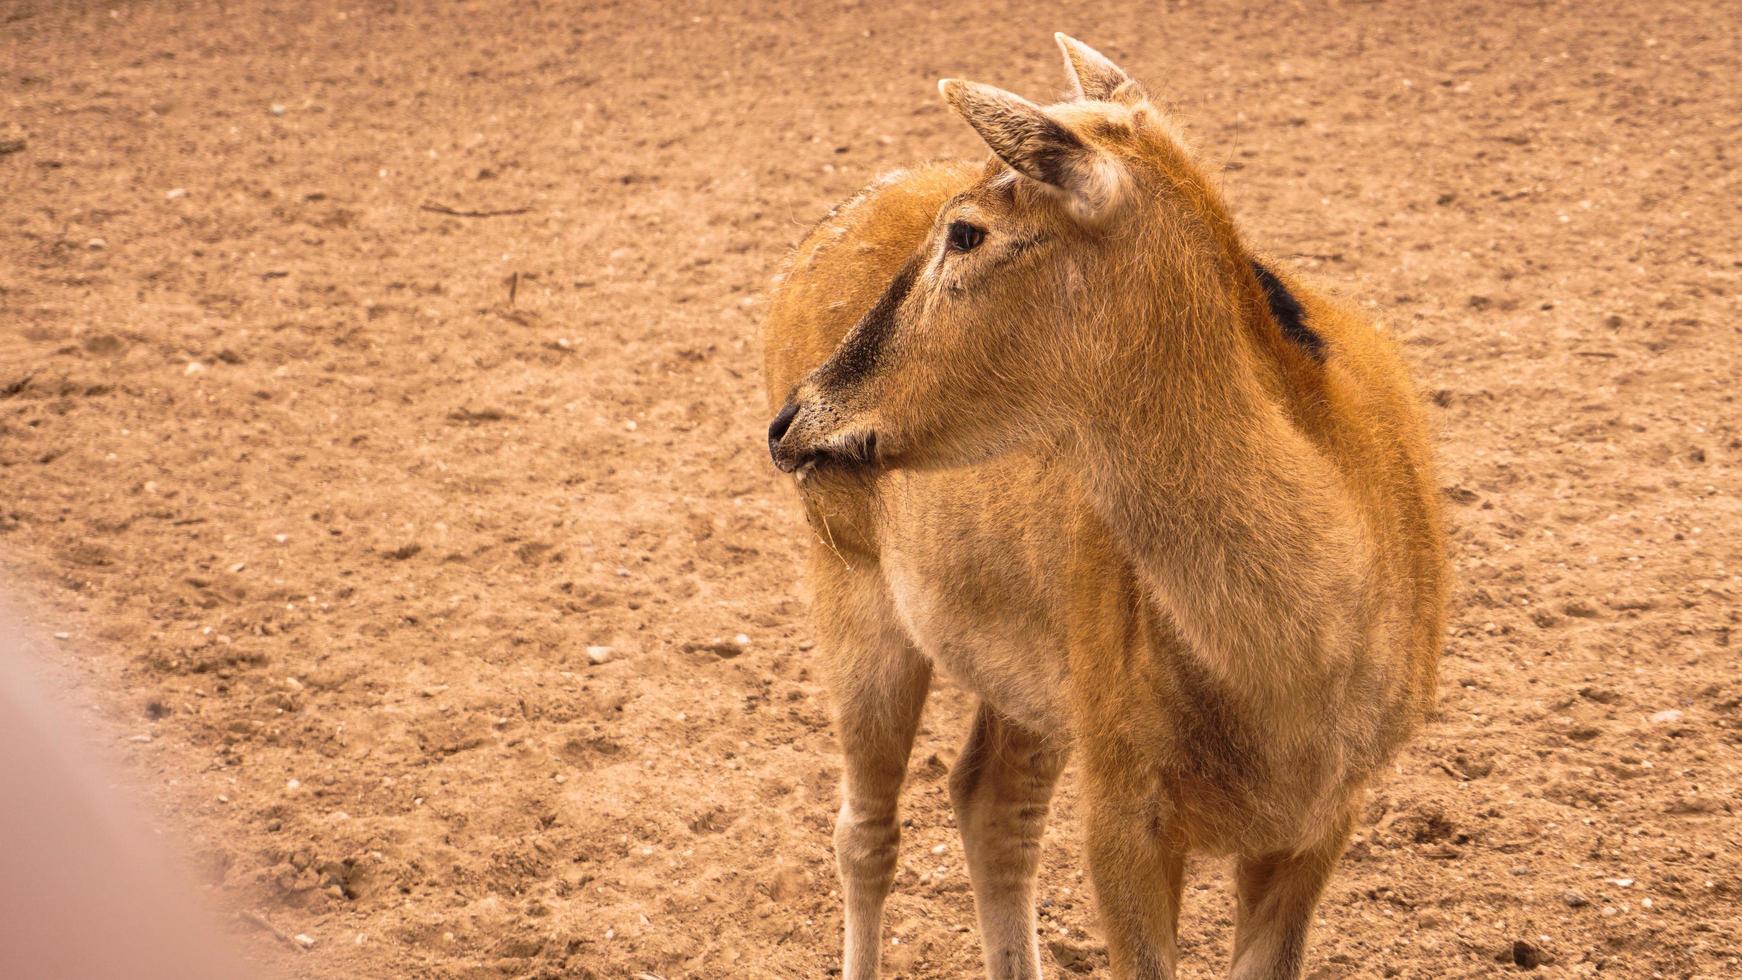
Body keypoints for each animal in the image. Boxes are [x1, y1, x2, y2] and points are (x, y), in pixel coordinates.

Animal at [762, 34, 1456, 974]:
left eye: (967, 231)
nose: (793, 417)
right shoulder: (1124, 802)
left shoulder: (1329, 815)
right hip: (849, 580)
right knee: (866, 833)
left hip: (1040, 671)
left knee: (990, 800)